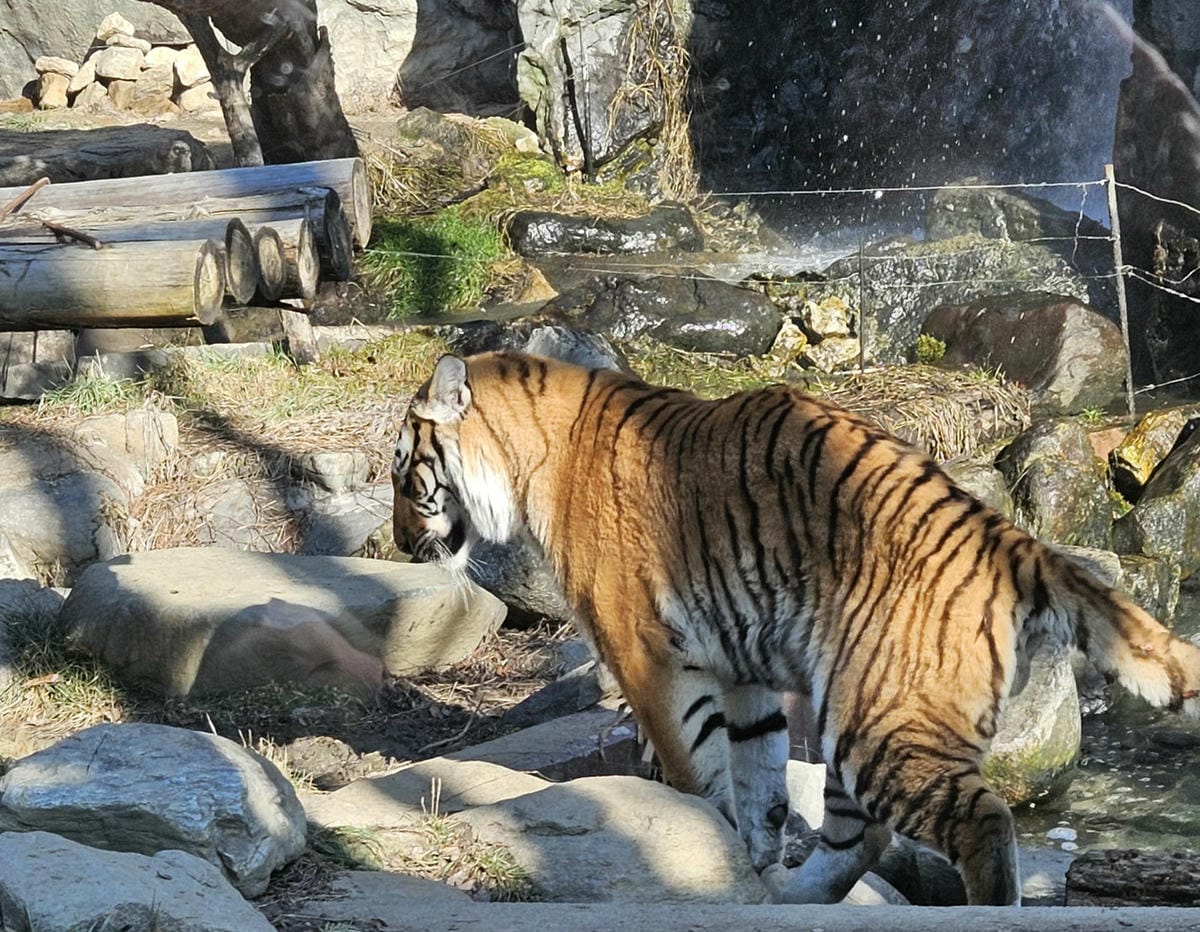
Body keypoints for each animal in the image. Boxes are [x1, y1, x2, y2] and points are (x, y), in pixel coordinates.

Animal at [390, 350, 1200, 906]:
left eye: (404, 474)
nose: (398, 541)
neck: (528, 451)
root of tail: (1010, 538)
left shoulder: (644, 651)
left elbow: (695, 772)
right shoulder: (742, 669)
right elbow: (759, 787)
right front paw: (749, 873)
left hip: (880, 723)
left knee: (981, 821)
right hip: (856, 713)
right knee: (861, 835)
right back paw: (797, 899)